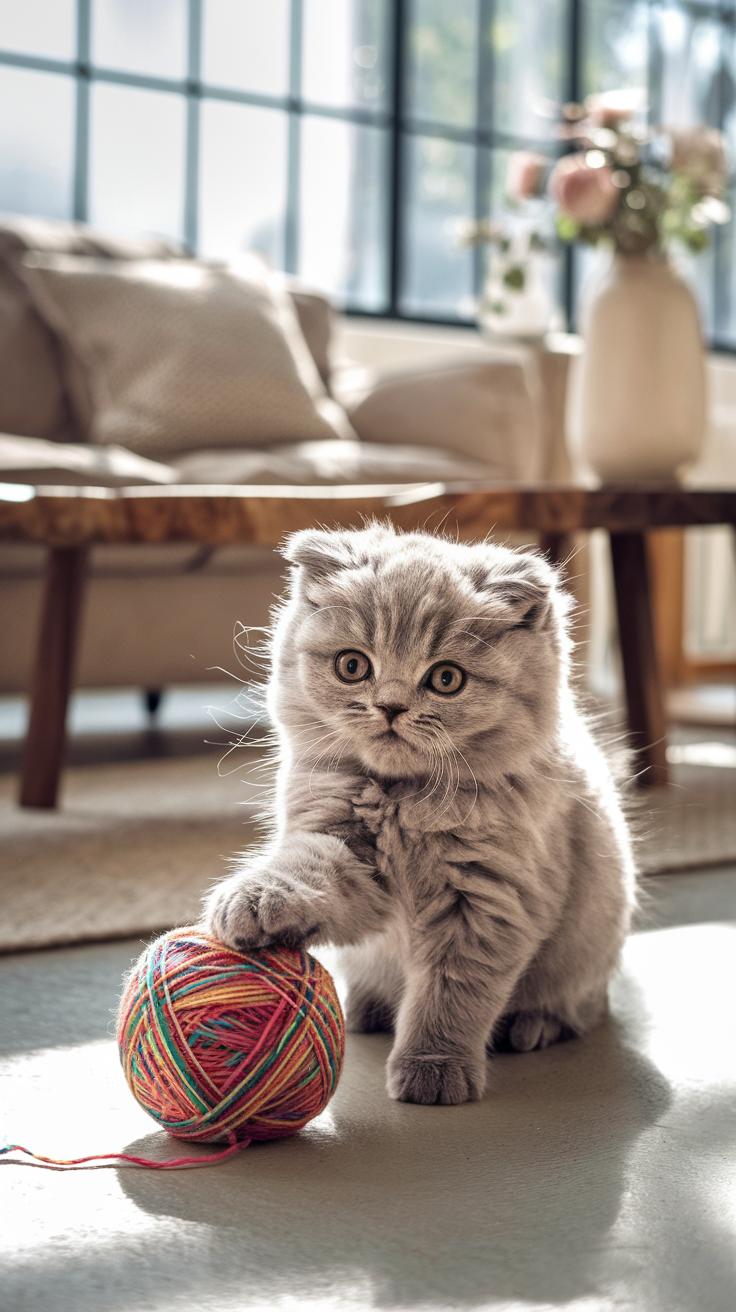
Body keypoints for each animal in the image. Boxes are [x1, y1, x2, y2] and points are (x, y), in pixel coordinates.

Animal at [203, 524, 634, 1107]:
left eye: (446, 678)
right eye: (353, 666)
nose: (390, 706)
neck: (403, 802)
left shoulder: (487, 897)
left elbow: (451, 991)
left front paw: (433, 1067)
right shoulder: (341, 842)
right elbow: (305, 869)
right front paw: (257, 901)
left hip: (590, 947)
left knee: (582, 1006)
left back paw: (535, 1025)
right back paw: (365, 1008)